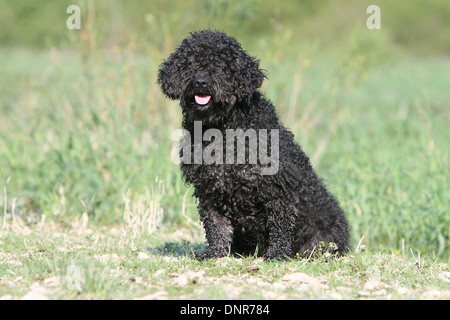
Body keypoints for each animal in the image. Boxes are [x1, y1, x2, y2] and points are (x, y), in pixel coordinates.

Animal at [158, 30, 352, 260]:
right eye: (189, 63)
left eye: (221, 65)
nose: (201, 82)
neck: (222, 130)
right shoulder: (209, 190)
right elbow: (216, 227)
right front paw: (215, 253)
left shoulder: (279, 189)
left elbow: (280, 226)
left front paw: (276, 255)